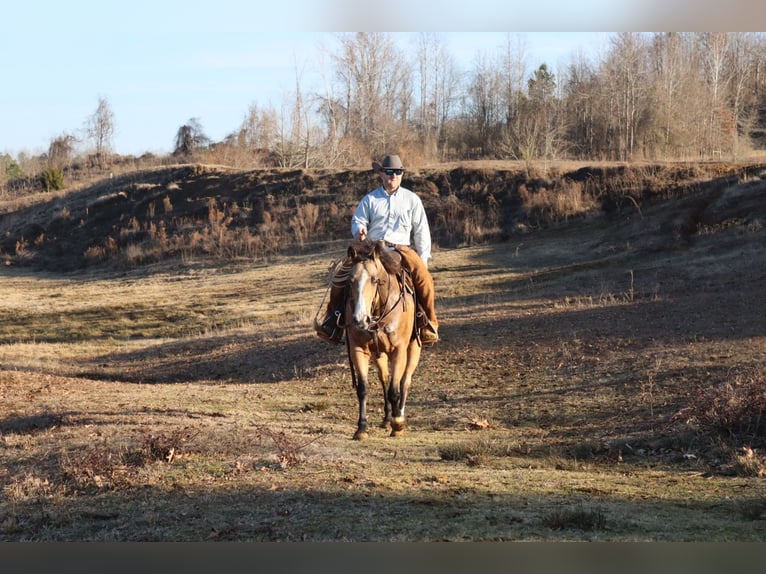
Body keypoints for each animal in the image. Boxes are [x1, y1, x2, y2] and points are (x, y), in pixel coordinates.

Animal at [344, 238, 424, 440]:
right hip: (378, 355)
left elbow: (395, 390)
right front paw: (361, 428)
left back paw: (399, 415)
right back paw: (388, 418)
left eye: (374, 280)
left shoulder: (399, 351)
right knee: (384, 379)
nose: (359, 319)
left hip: (414, 349)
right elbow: (363, 389)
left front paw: (398, 426)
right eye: (350, 281)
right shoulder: (358, 349)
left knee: (404, 382)